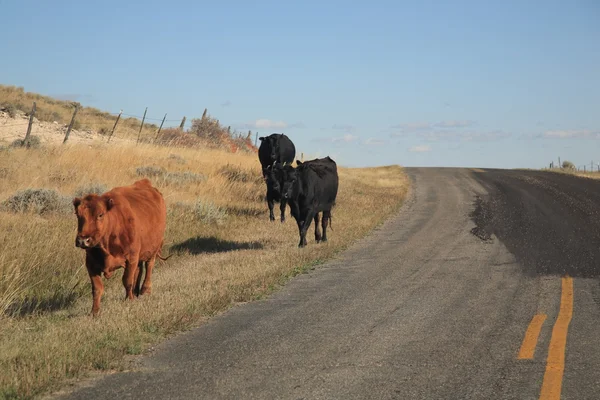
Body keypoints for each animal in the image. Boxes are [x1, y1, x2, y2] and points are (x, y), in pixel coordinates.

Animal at [75, 178, 169, 316]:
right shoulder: (91, 264)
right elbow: (97, 288)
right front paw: (94, 312)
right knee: (139, 270)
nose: (83, 240)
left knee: (149, 266)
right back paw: (136, 292)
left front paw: (129, 300)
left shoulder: (131, 258)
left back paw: (145, 290)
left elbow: (127, 281)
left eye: (100, 215)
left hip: (153, 249)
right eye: (78, 214)